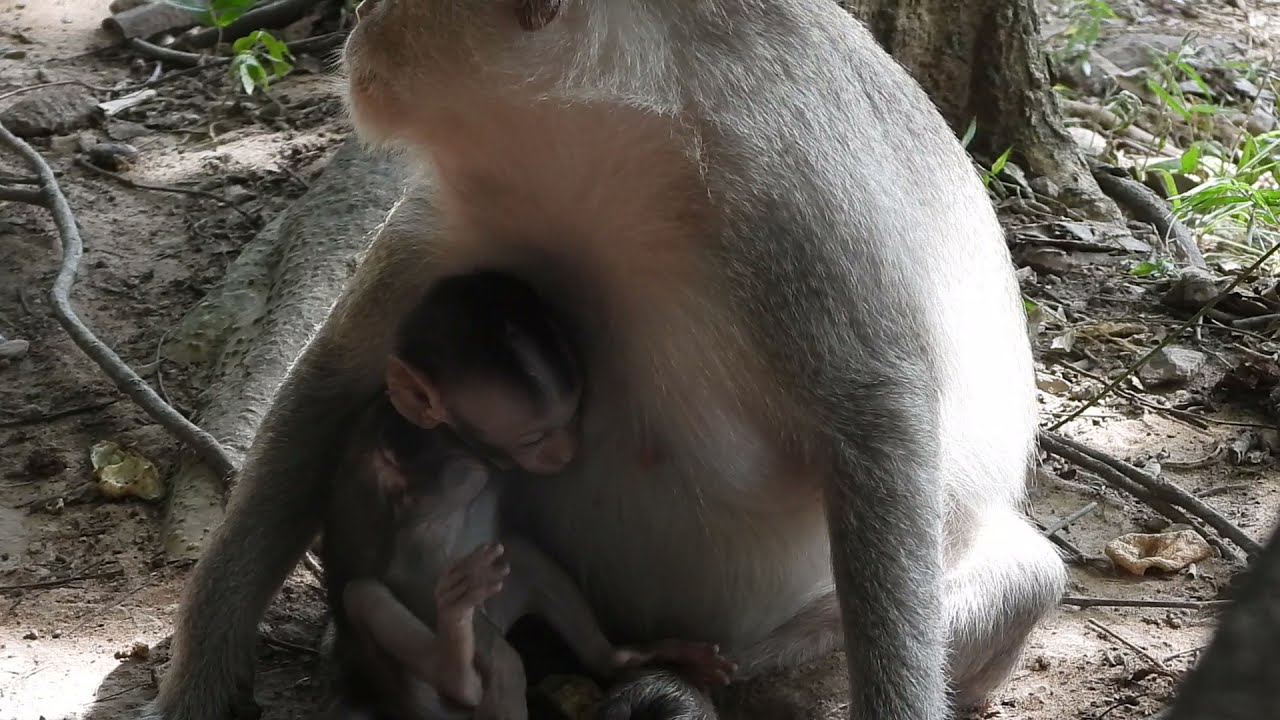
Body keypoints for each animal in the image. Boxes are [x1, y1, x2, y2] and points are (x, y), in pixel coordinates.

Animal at [321, 269, 734, 719]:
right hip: (406, 676)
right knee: (368, 596)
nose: (566, 452)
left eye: (573, 414)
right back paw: (455, 667)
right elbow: (412, 548)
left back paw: (623, 657)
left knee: (521, 557)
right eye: (533, 438)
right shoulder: (431, 466)